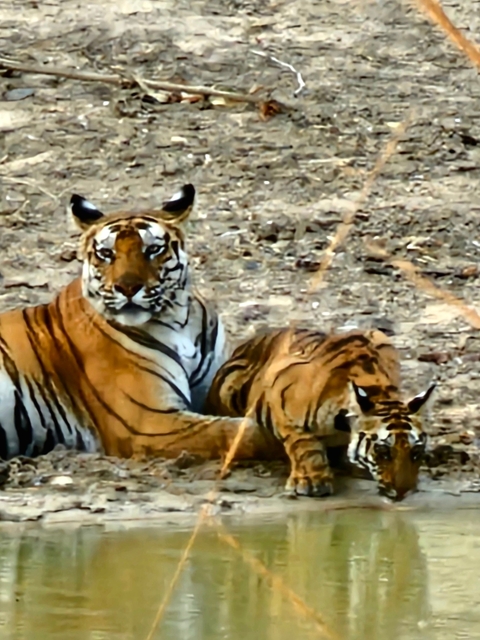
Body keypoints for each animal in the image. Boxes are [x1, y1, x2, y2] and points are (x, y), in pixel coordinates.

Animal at [0, 184, 258, 461]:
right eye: (106, 254)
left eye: (152, 250)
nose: (127, 287)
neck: (179, 321)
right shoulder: (149, 422)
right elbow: (235, 433)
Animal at [205, 327, 436, 501]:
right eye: (383, 451)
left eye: (416, 452)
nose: (403, 492)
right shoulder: (281, 395)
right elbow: (303, 444)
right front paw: (311, 480)